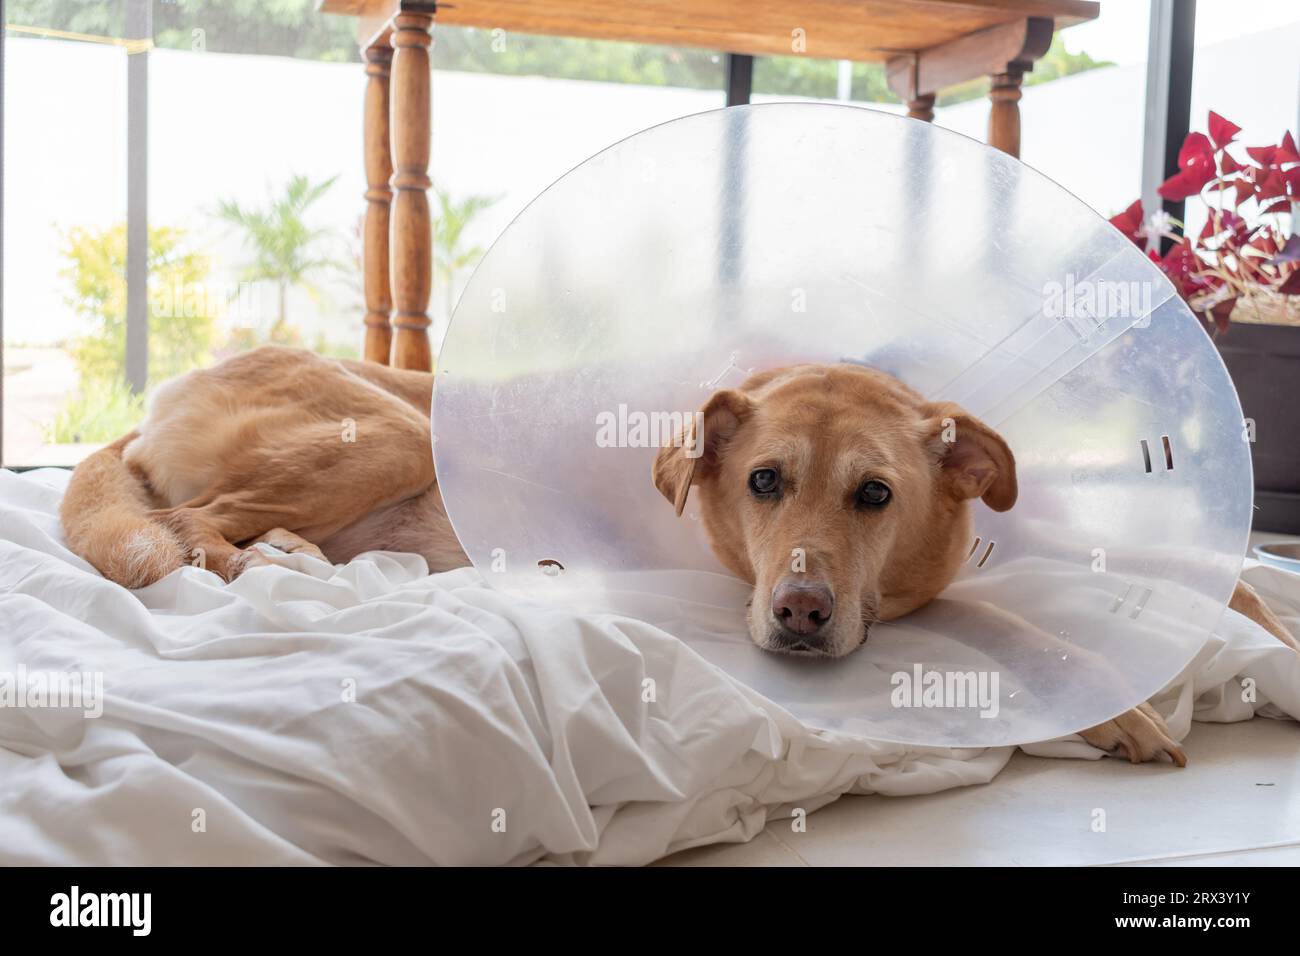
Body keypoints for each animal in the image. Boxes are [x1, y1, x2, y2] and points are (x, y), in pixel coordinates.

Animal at [63, 348, 1300, 764]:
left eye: (876, 493)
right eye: (761, 481)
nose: (799, 614)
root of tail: (158, 395)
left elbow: (1240, 582)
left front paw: (1271, 625)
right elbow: (1020, 624)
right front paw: (1124, 709)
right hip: (389, 431)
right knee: (197, 526)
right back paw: (280, 568)